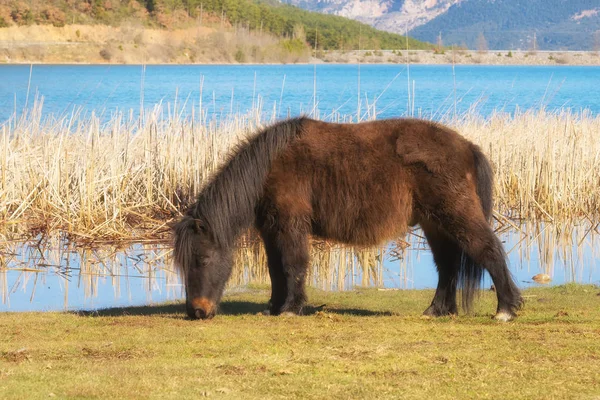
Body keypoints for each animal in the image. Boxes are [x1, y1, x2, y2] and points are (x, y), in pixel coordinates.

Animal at [172, 118, 520, 322]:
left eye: (202, 259)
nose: (197, 311)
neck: (269, 166)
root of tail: (468, 147)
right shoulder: (271, 228)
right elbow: (275, 269)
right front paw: (275, 306)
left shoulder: (291, 224)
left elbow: (294, 265)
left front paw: (291, 308)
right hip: (435, 224)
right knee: (447, 266)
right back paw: (437, 310)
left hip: (456, 217)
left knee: (489, 251)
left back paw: (505, 309)